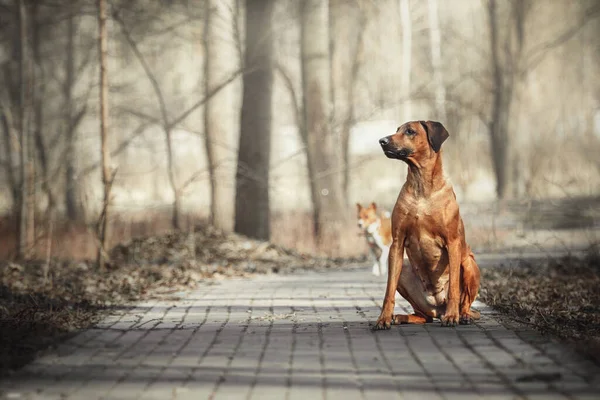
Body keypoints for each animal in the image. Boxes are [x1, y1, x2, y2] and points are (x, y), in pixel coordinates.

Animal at [372, 119, 480, 328]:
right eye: (397, 130)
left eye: (410, 131)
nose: (382, 141)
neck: (421, 184)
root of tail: (438, 308)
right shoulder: (397, 242)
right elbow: (388, 290)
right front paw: (383, 318)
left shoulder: (453, 242)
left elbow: (454, 288)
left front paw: (453, 317)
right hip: (405, 269)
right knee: (424, 315)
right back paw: (402, 317)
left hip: (469, 262)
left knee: (464, 302)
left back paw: (462, 315)